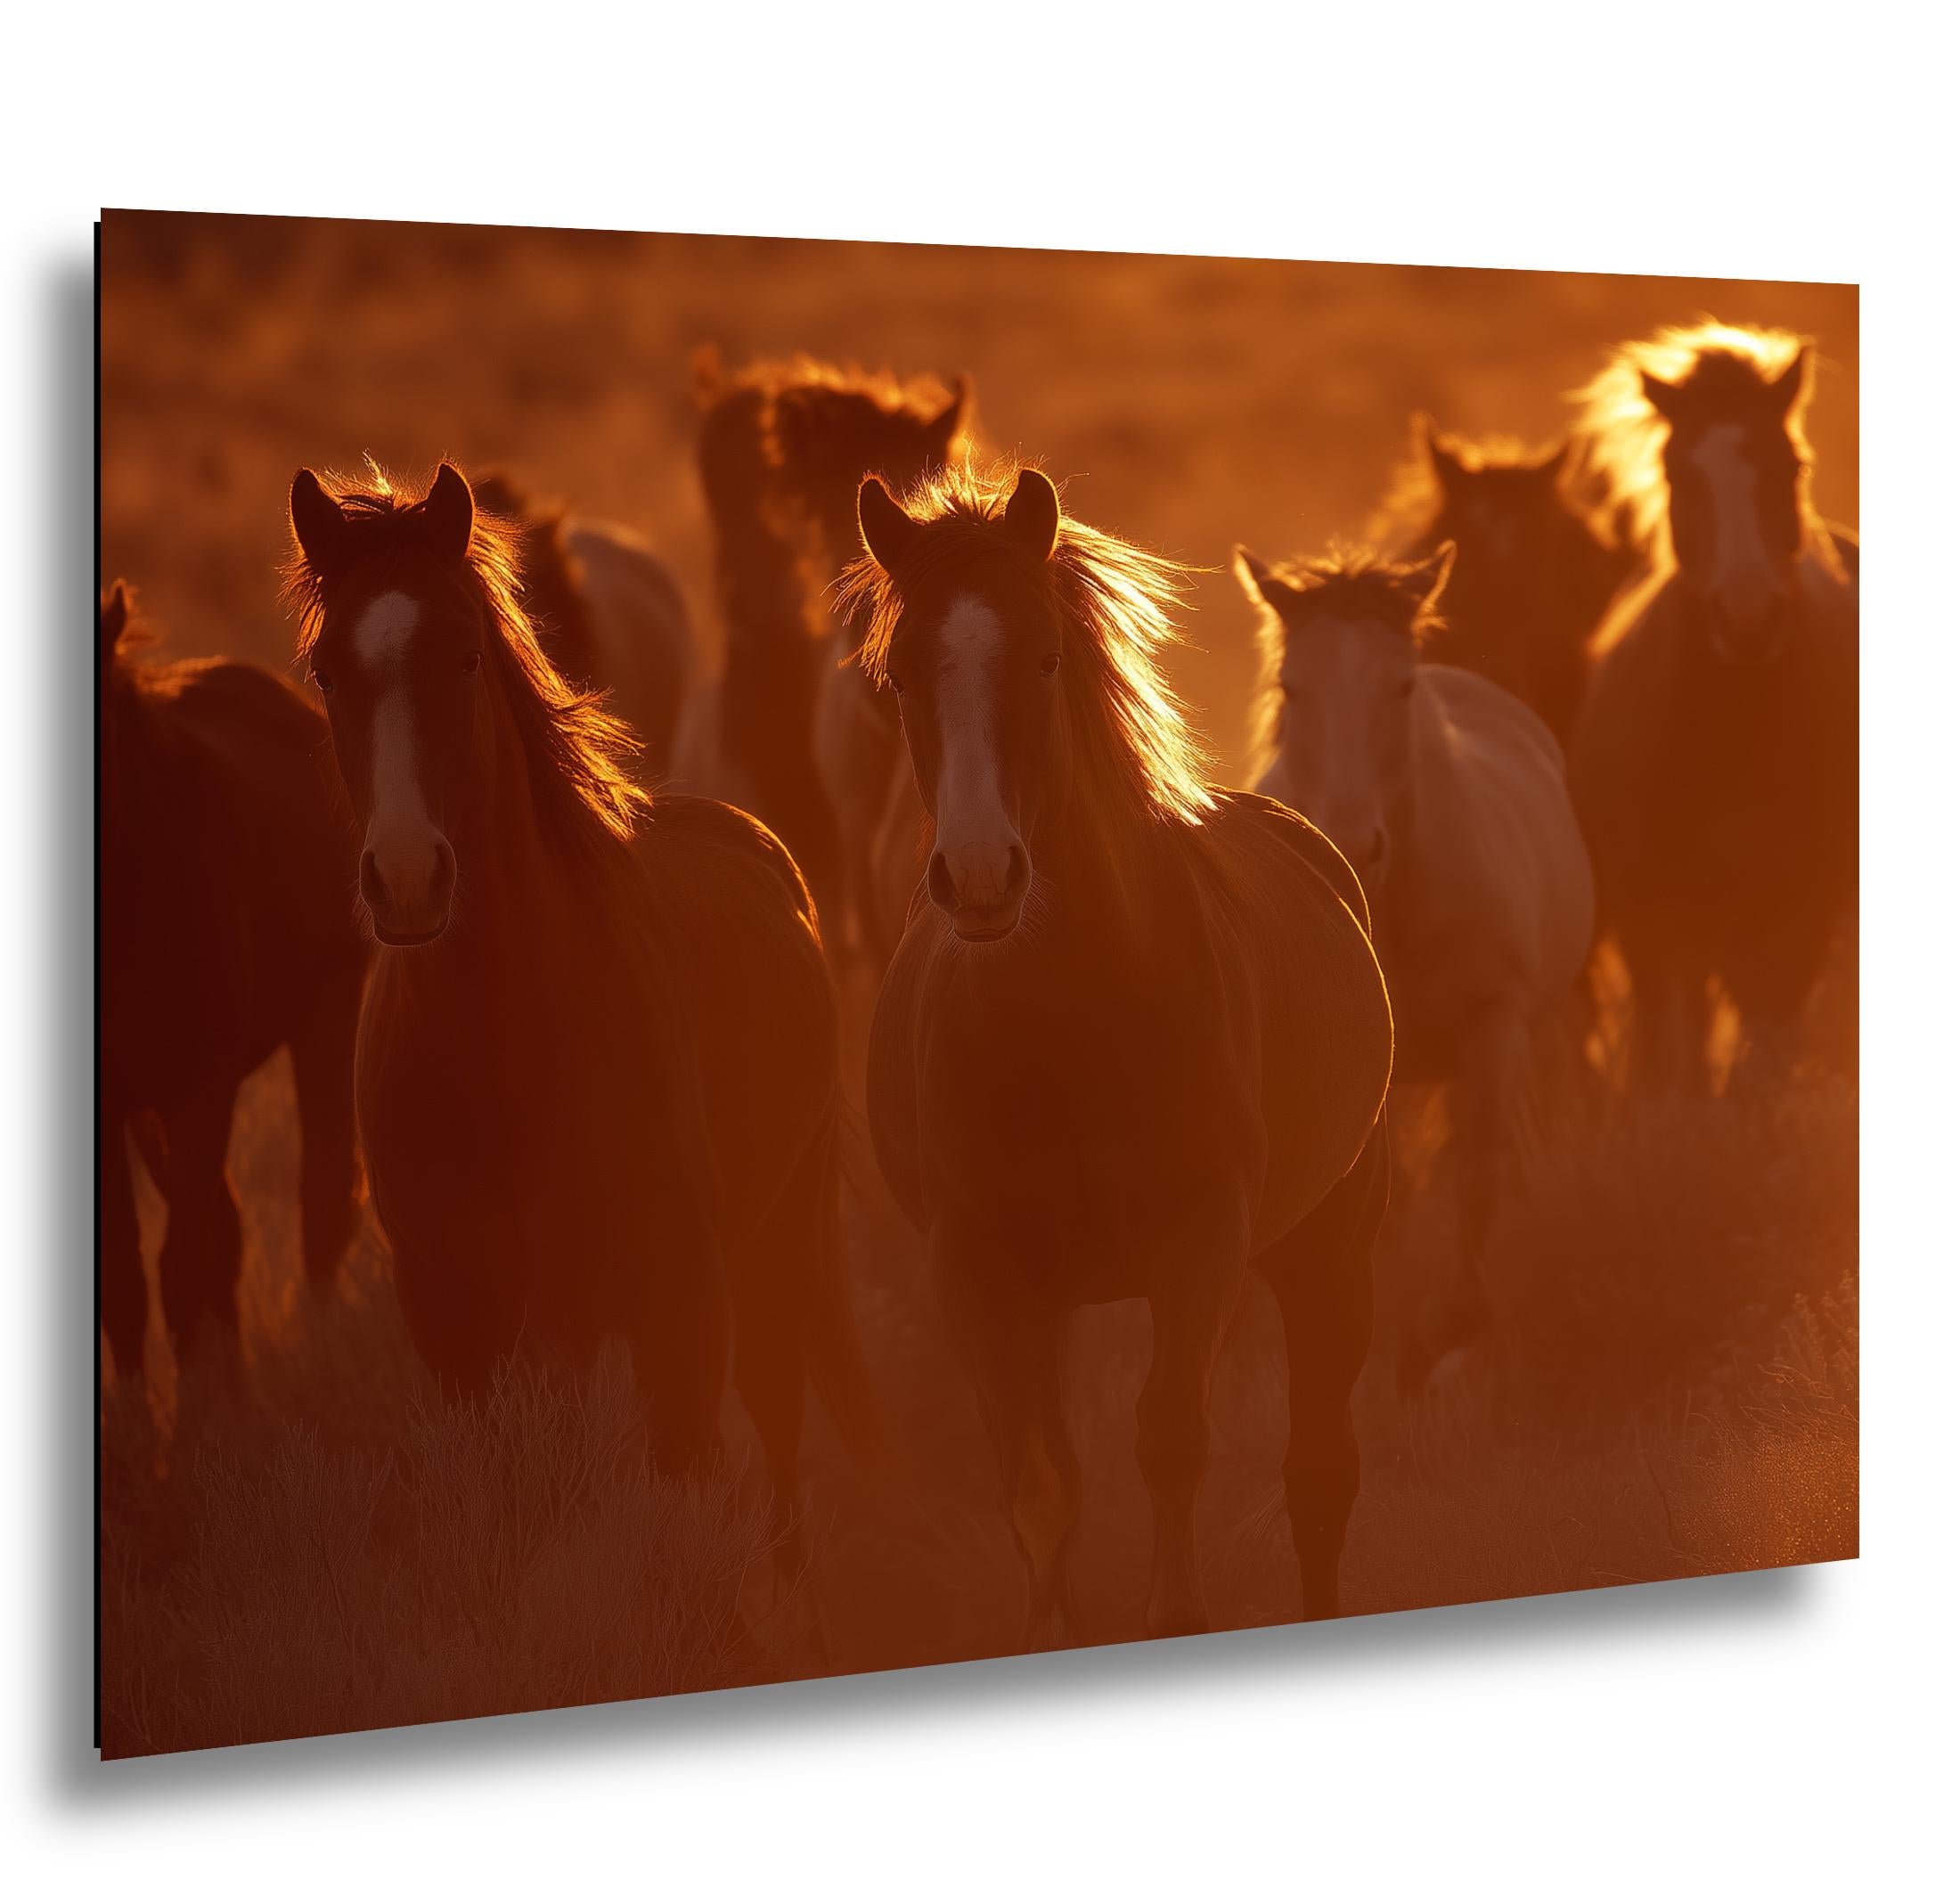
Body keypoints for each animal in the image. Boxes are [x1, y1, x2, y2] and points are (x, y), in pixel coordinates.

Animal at [99, 581, 366, 1380]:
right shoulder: (120, 1107)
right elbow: (126, 1282)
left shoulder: (200, 1088)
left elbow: (180, 1268)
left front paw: (194, 1415)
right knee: (230, 1229)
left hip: (325, 1020)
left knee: (320, 1198)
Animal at [846, 464, 1393, 1644]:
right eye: (899, 673)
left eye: (1045, 657)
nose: (980, 877)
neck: (1074, 1020)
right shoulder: (979, 1276)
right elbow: (1041, 1491)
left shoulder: (1198, 1249)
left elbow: (1169, 1441)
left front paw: (1173, 1611)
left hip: (1328, 1248)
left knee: (1321, 1474)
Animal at [1237, 543, 1595, 1374]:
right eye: (1290, 687)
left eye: (1400, 686)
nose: (1350, 841)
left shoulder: (1496, 1026)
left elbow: (1478, 1176)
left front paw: (1463, 1321)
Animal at [1567, 323, 1857, 1092]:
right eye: (1680, 474)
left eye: (1791, 466)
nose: (1748, 619)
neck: (1732, 733)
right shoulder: (1659, 926)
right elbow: (1681, 1070)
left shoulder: (1793, 922)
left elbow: (1764, 1069)